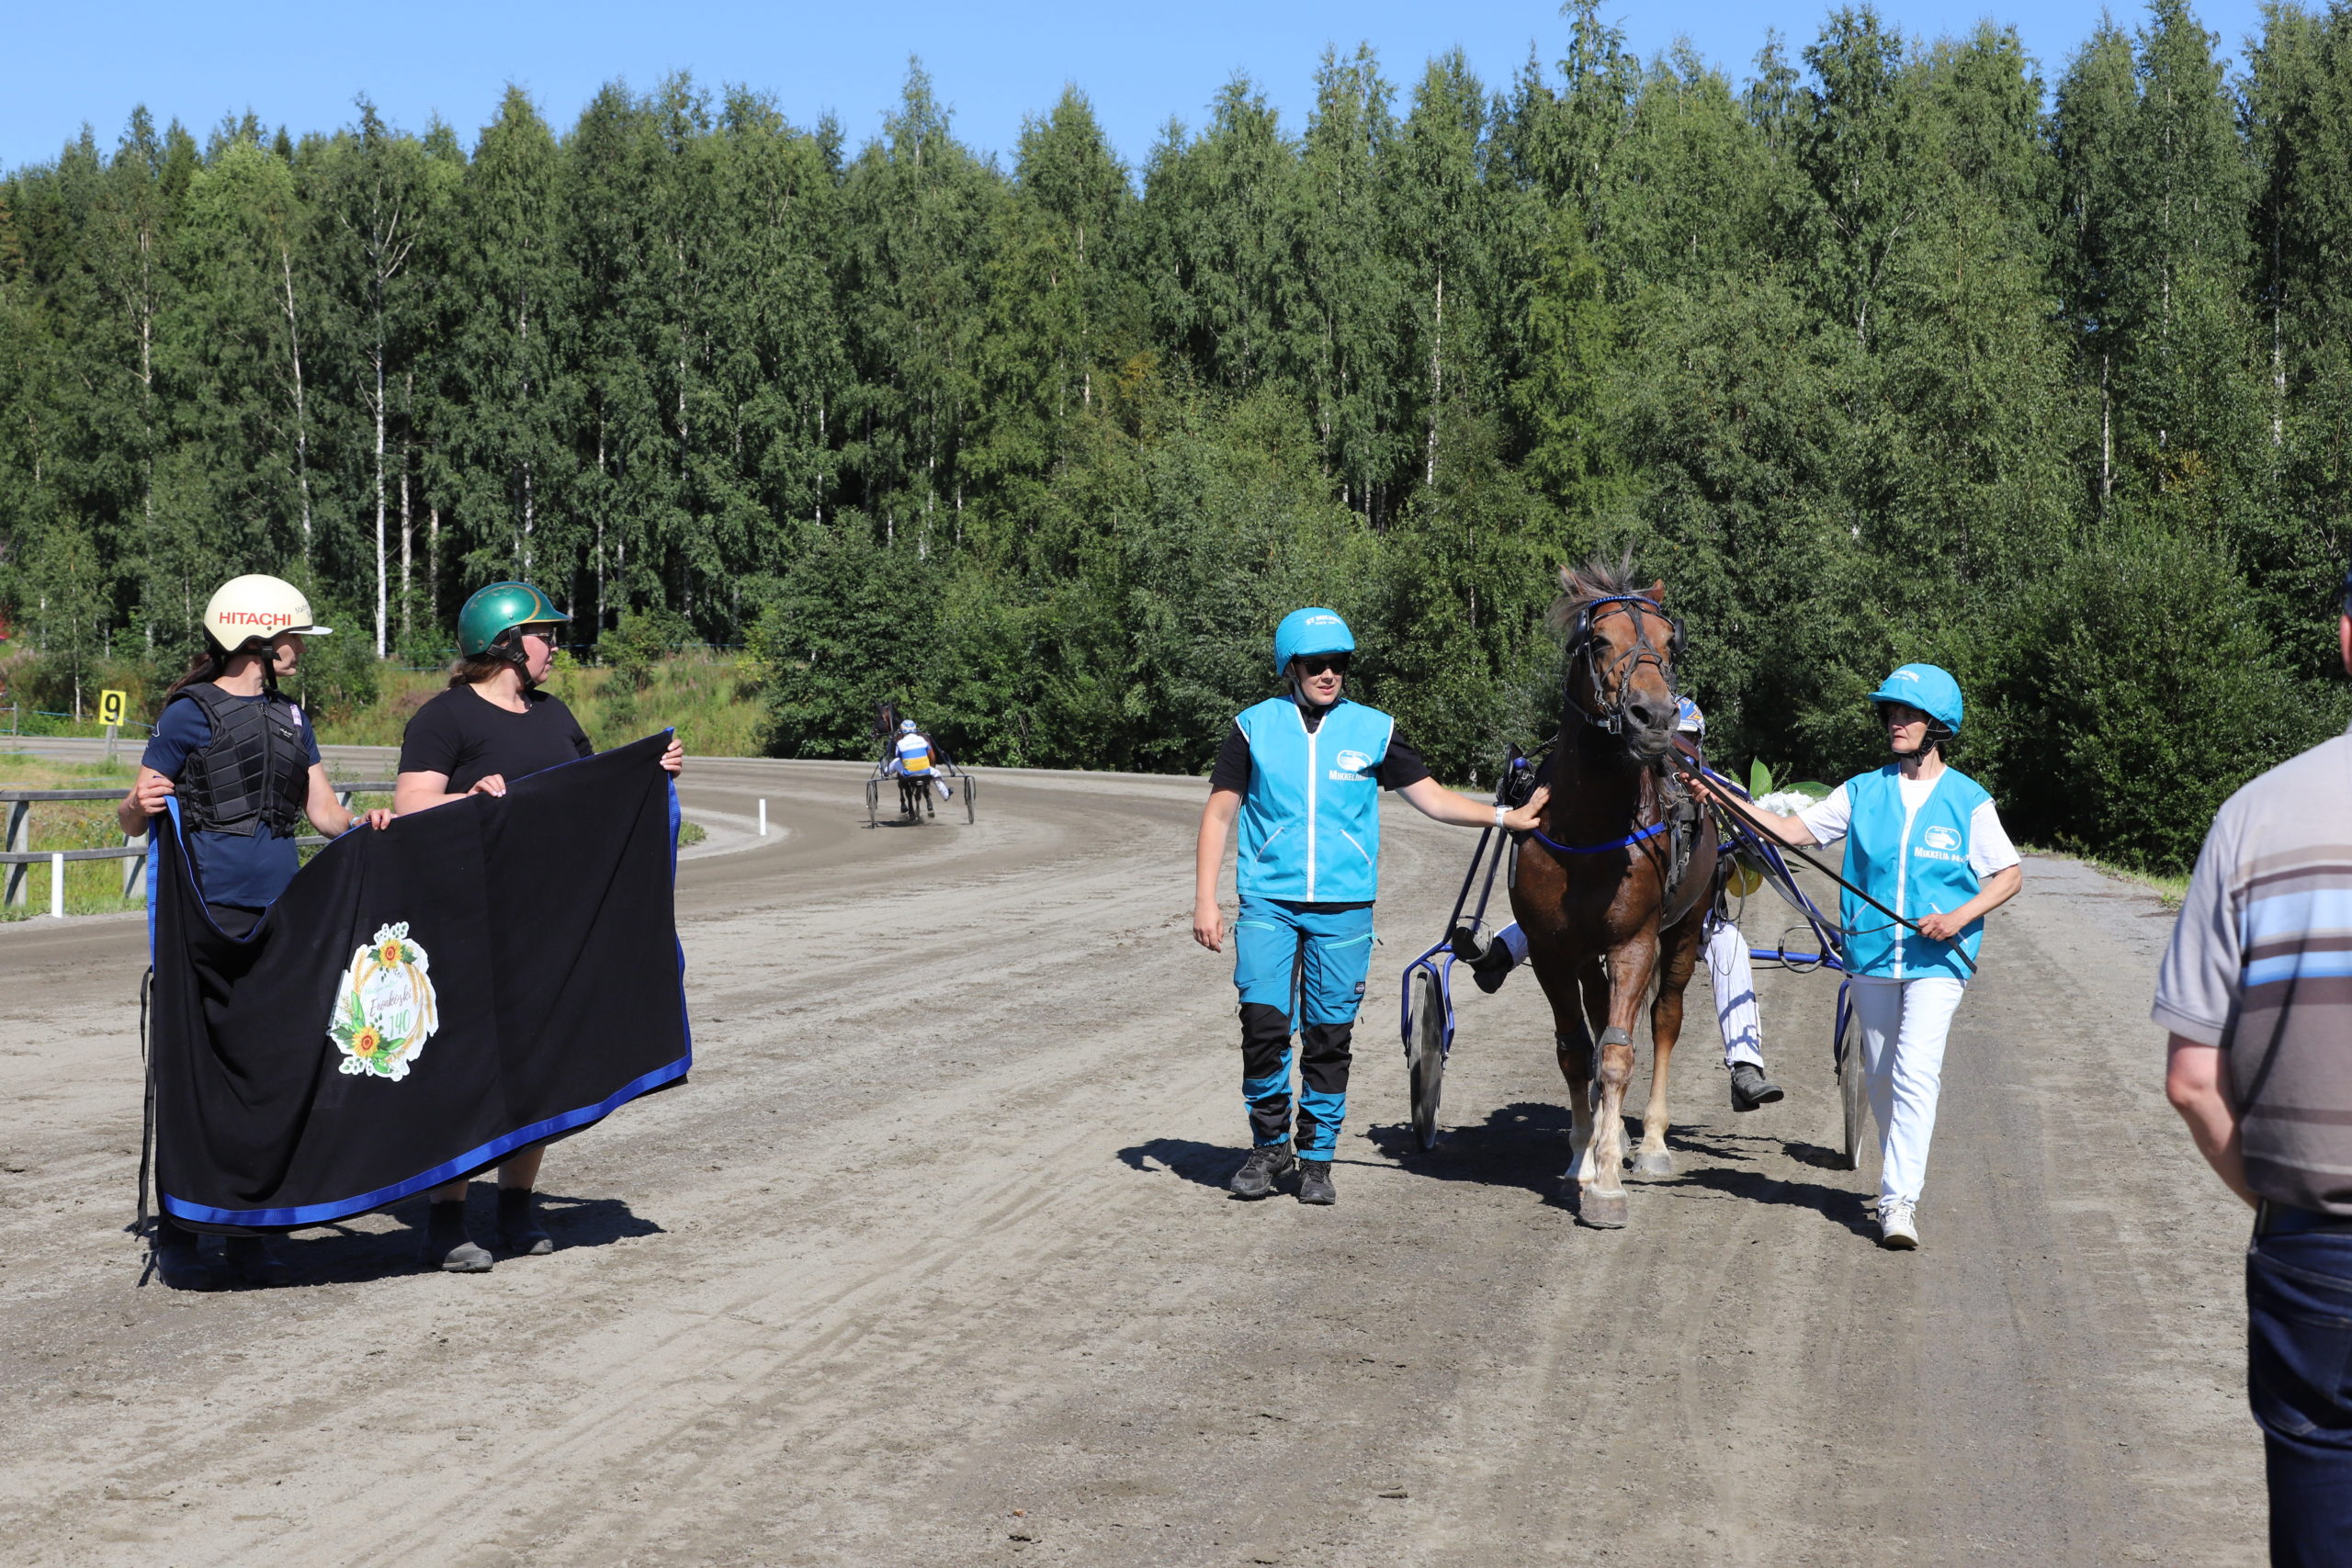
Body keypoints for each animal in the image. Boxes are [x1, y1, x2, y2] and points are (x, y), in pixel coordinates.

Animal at [1505, 557, 1731, 1232]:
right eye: (1600, 640)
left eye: (1668, 643)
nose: (1653, 716)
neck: (1588, 829)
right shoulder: (1552, 951)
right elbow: (1577, 1050)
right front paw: (1583, 1155)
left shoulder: (1635, 941)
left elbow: (1618, 1055)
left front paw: (1606, 1181)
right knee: (1601, 1010)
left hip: (1683, 929)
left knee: (1664, 1018)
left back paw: (1650, 1141)